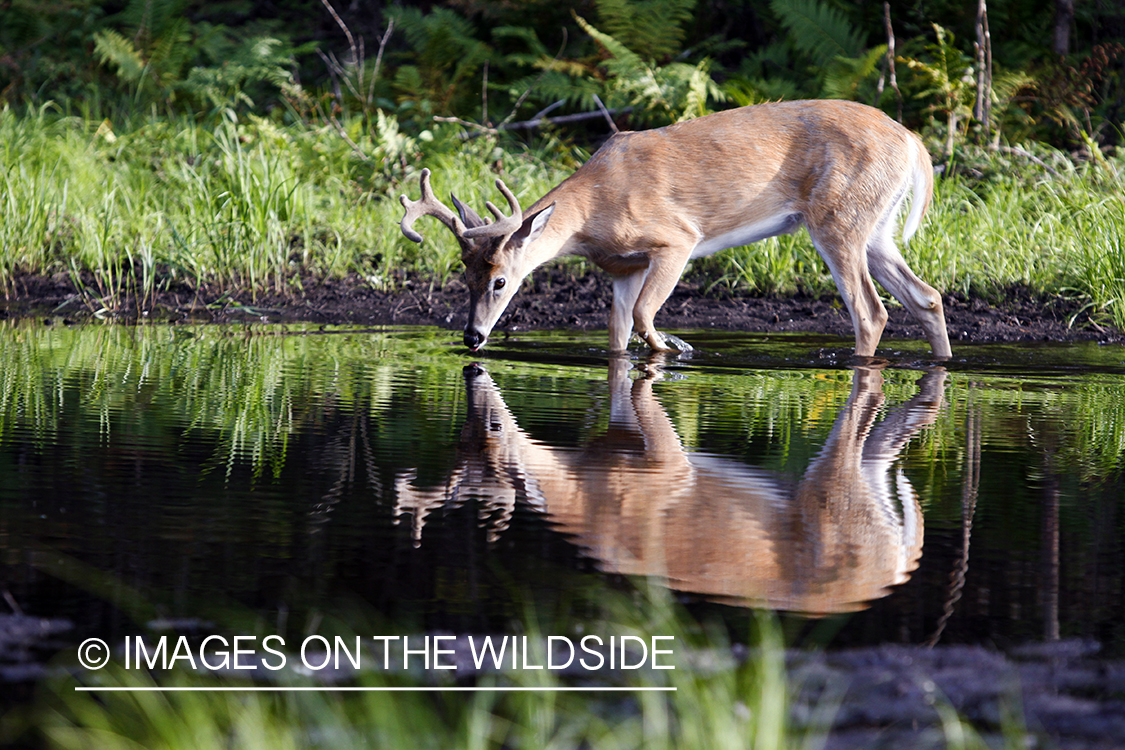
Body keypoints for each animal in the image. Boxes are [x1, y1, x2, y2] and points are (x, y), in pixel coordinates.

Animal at [402, 101, 949, 359]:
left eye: (500, 280)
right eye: (464, 277)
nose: (472, 336)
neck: (594, 208)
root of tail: (912, 141)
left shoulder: (676, 239)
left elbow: (645, 316)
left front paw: (674, 348)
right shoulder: (621, 268)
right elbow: (617, 331)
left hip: (839, 218)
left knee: (871, 311)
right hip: (877, 227)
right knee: (927, 296)